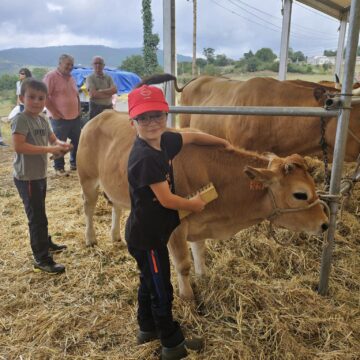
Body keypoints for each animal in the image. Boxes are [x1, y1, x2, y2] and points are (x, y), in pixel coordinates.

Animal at [78, 111, 330, 300]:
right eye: (300, 194)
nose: (325, 224)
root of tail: (100, 115)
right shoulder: (176, 228)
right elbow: (183, 264)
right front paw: (187, 296)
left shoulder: (200, 223)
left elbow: (199, 251)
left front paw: (203, 275)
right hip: (87, 179)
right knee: (89, 208)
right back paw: (91, 238)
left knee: (117, 206)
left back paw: (115, 235)